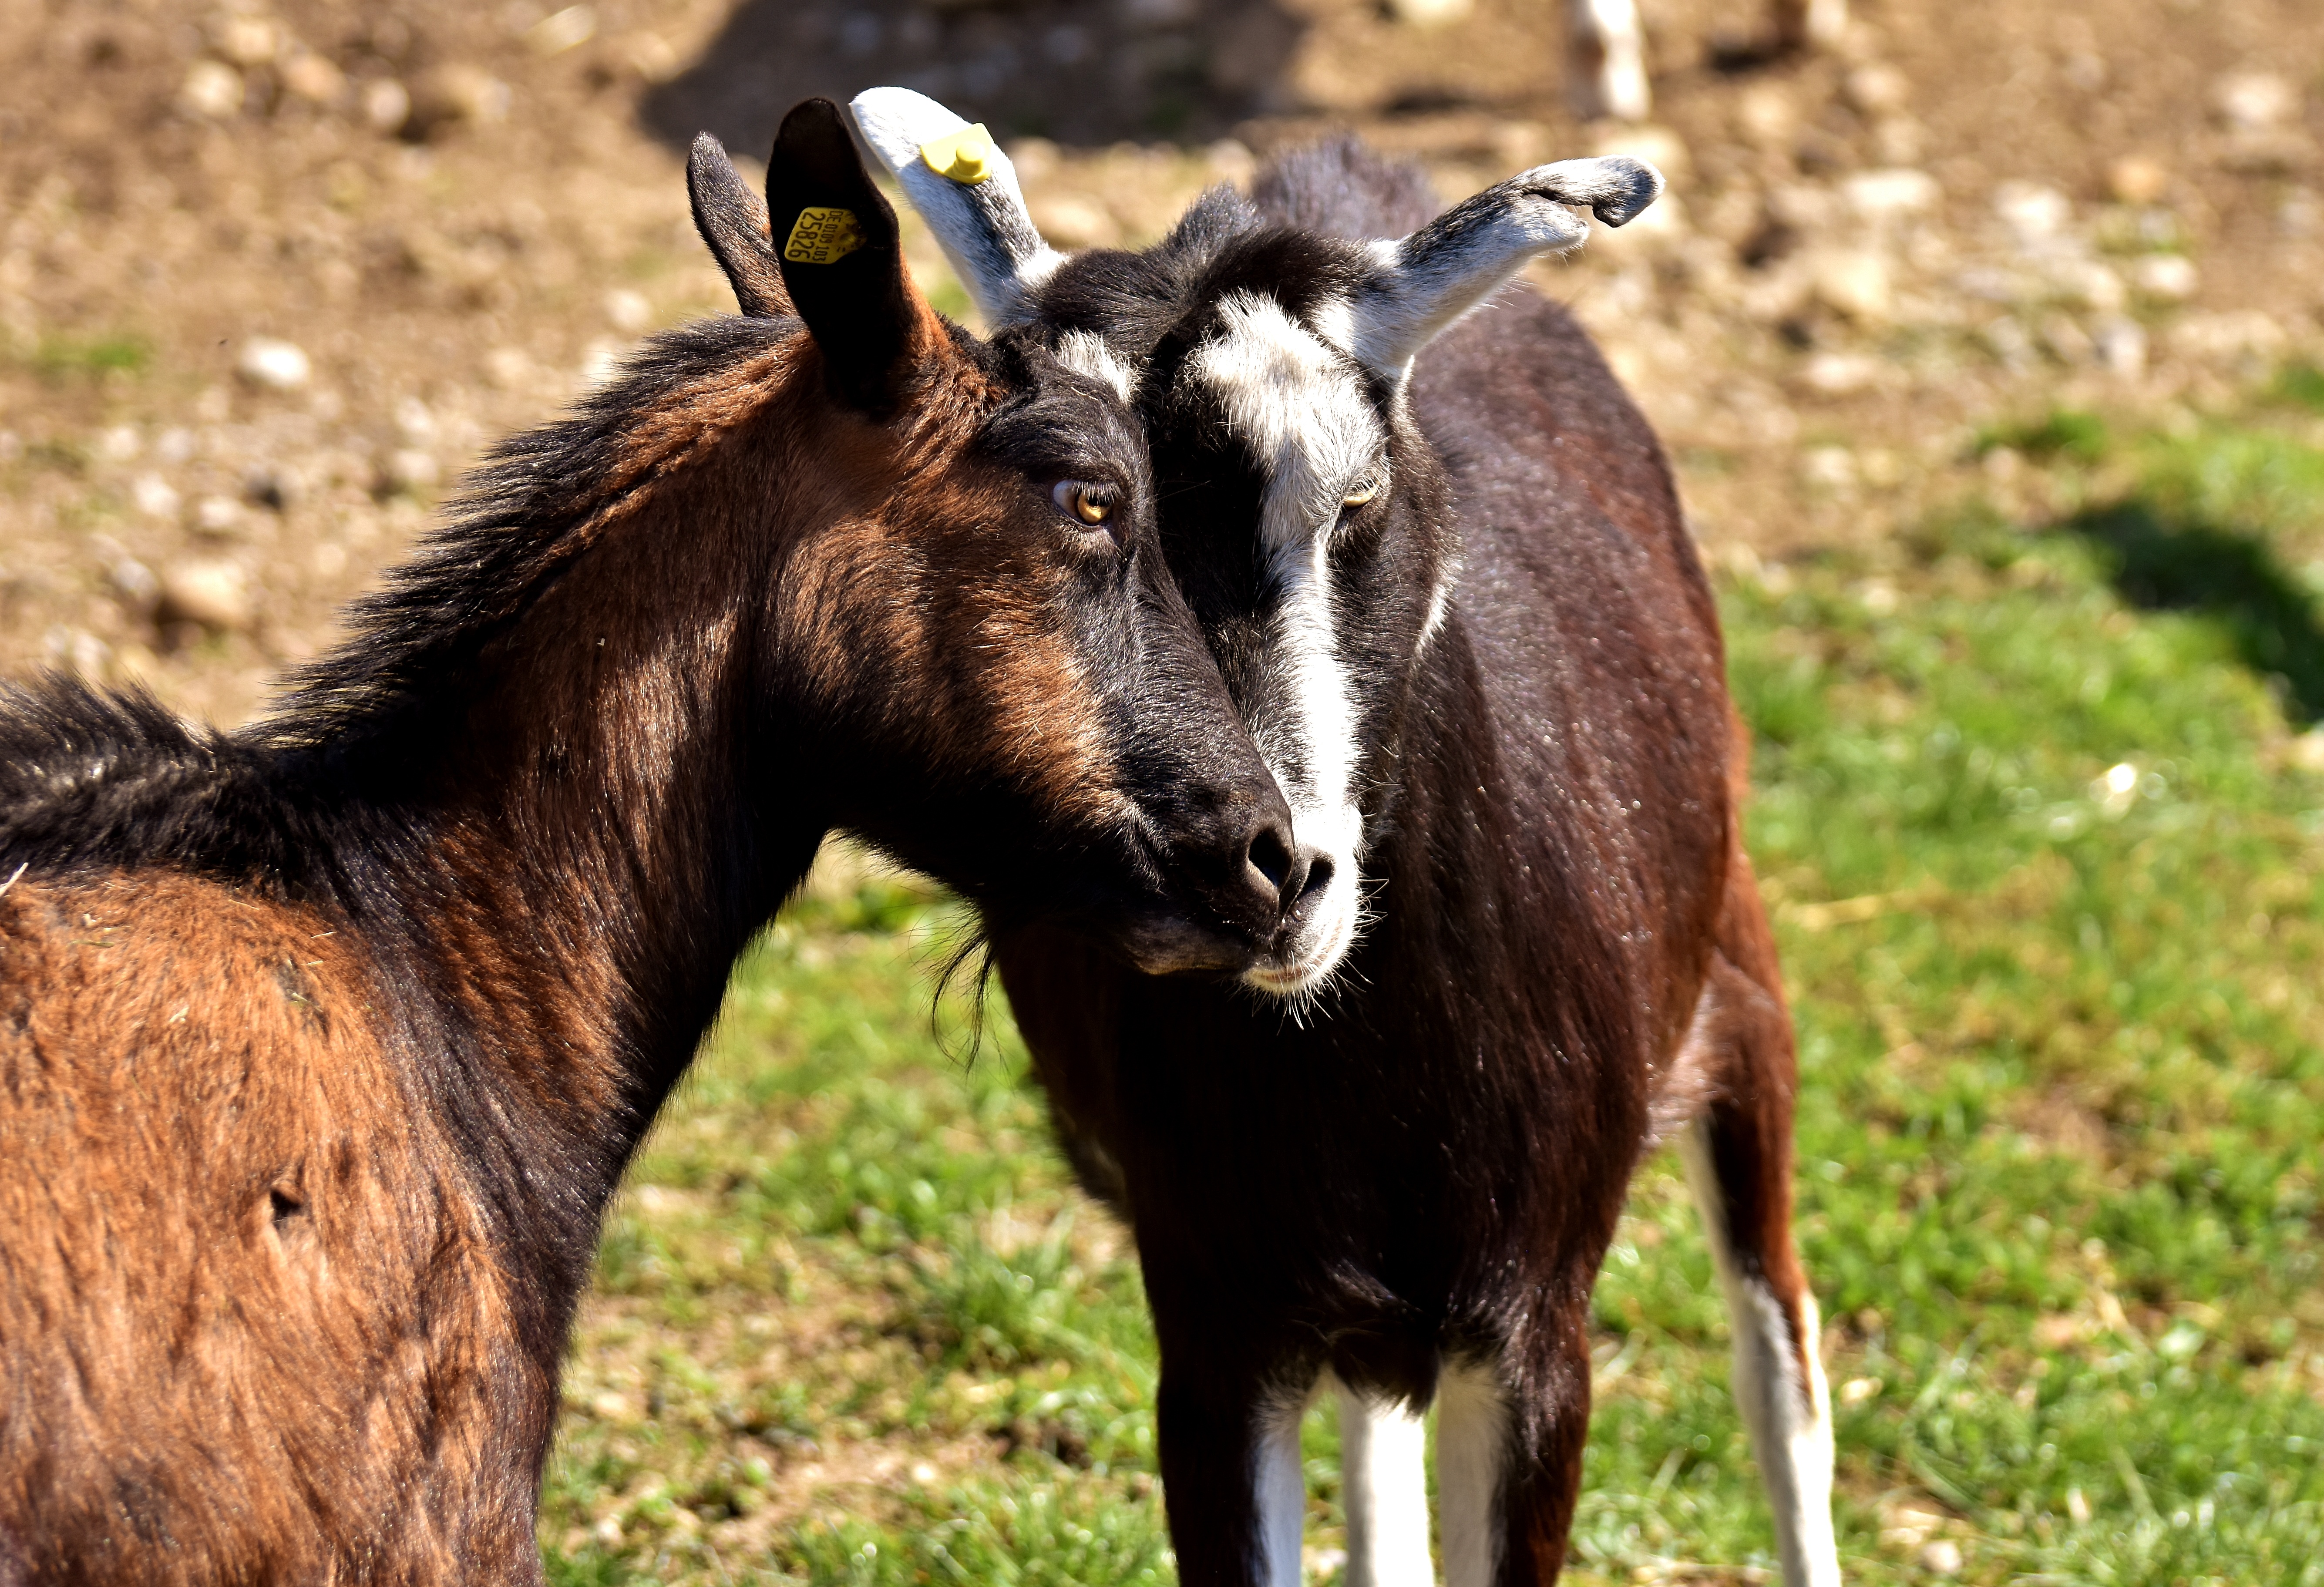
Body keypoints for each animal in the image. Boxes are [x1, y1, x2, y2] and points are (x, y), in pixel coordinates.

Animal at [864, 96, 1840, 1587]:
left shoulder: (1536, 1330)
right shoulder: (1217, 1327)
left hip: (1740, 987)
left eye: (1355, 497)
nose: (1256, 874)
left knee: (1775, 1352)